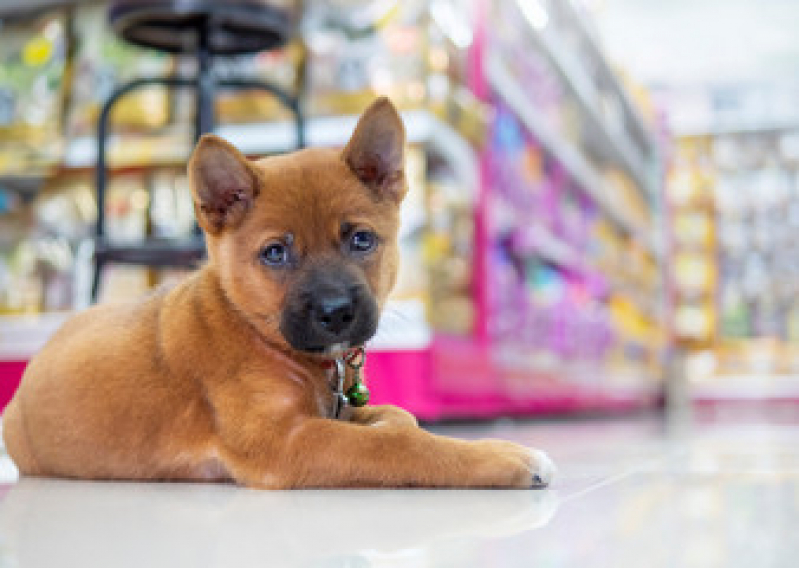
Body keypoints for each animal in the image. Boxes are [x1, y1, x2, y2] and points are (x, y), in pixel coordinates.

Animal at [3, 97, 556, 488]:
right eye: (274, 253)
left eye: (361, 240)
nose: (336, 312)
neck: (255, 330)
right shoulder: (286, 443)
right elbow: (401, 448)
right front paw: (498, 455)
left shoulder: (330, 414)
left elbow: (398, 418)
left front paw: (395, 422)